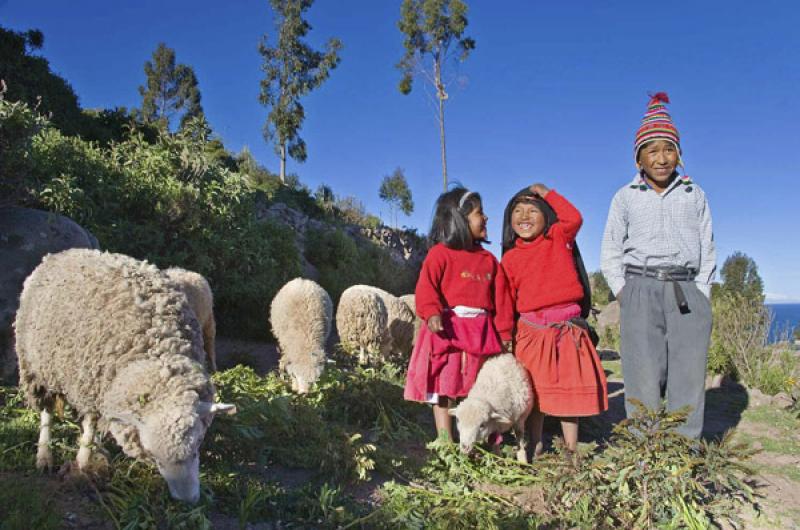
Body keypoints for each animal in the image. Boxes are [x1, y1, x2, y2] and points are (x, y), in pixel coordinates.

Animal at [14, 248, 234, 500]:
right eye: (154, 456)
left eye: (198, 446)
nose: (188, 500)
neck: (158, 355)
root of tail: (61, 253)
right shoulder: (92, 385)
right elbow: (89, 427)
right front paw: (83, 463)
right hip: (37, 367)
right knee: (46, 412)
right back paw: (44, 456)